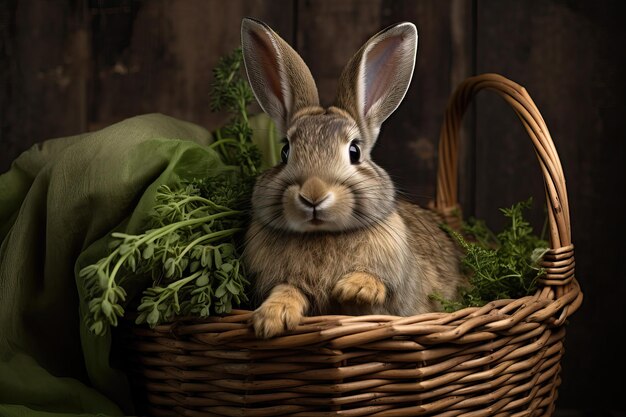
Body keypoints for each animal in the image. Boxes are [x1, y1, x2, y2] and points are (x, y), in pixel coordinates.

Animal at [239, 17, 464, 338]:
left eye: (354, 151)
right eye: (284, 151)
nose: (313, 194)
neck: (323, 234)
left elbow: (374, 289)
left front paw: (353, 287)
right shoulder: (281, 280)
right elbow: (287, 289)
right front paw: (271, 319)